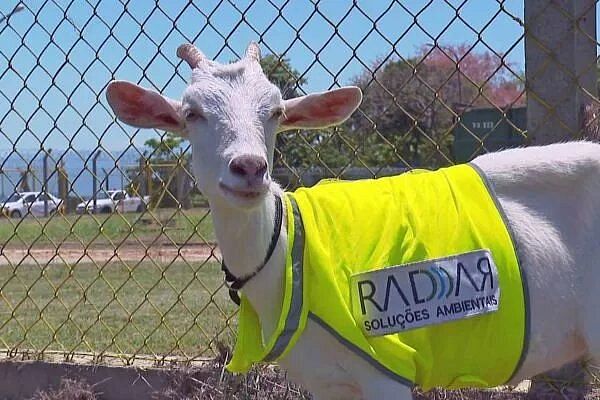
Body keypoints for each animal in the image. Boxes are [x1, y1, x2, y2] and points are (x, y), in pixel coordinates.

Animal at [105, 42, 600, 398]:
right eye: (192, 113)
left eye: (276, 112)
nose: (249, 168)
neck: (291, 250)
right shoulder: (327, 381)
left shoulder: (388, 365)